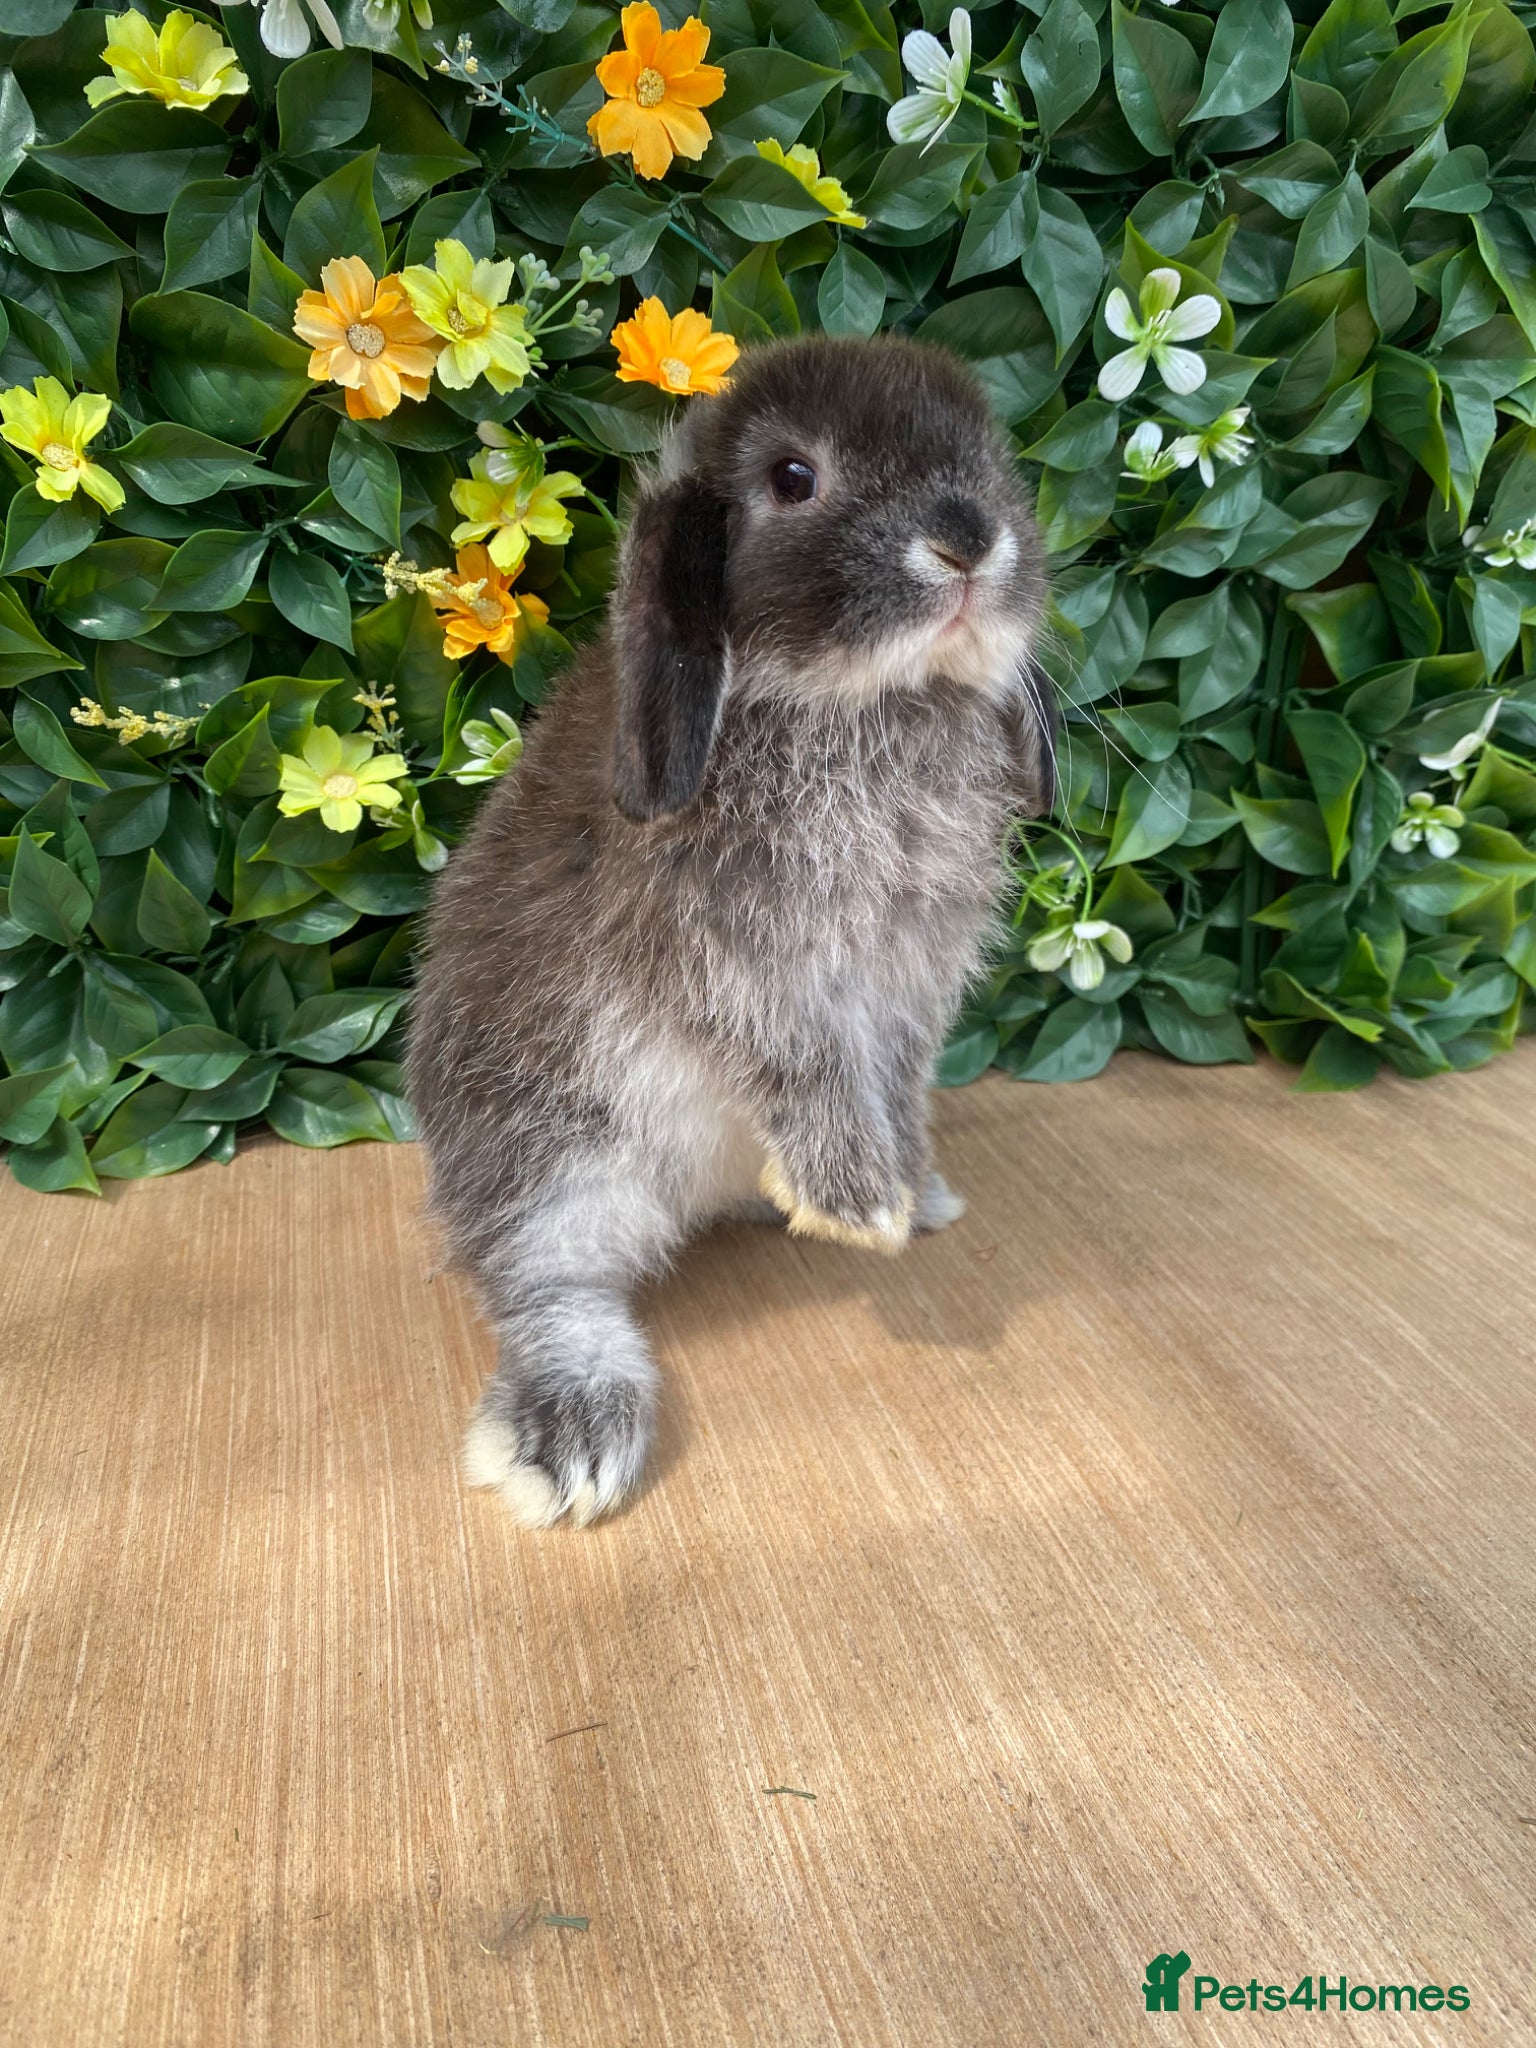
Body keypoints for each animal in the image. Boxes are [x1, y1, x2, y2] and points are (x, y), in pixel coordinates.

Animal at [406, 332, 1055, 1529]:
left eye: (996, 460)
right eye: (793, 478)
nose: (967, 539)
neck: (861, 702)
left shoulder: (913, 987)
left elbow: (896, 1081)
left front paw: (906, 1185)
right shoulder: (746, 969)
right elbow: (804, 1065)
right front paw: (860, 1204)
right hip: (551, 1147)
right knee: (542, 1282)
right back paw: (572, 1433)